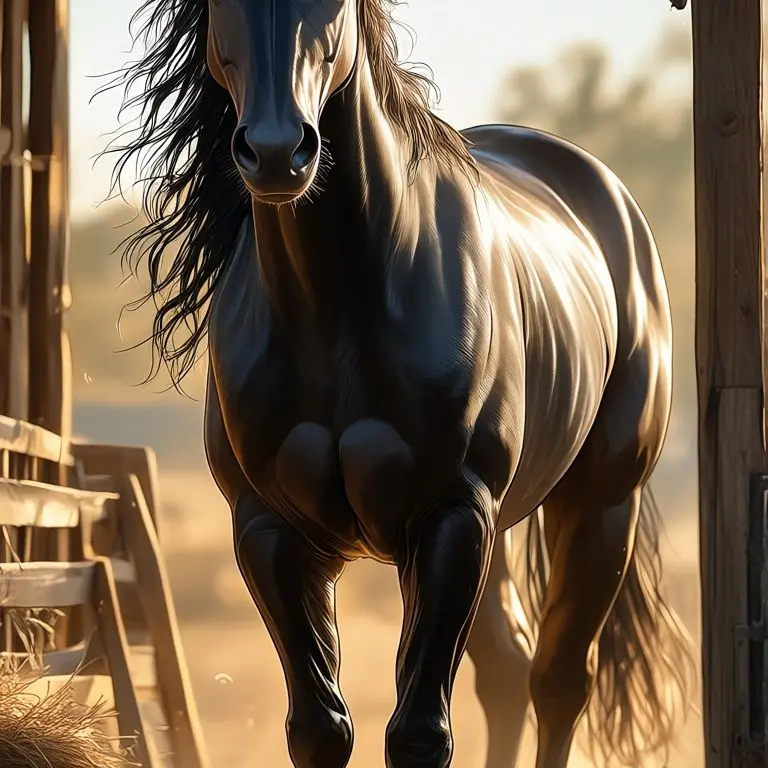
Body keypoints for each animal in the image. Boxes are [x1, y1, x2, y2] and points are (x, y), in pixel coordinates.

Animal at [104, 0, 695, 765]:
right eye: (220, 7)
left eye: (334, 8)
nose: (277, 153)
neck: (338, 307)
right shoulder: (271, 533)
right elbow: (321, 729)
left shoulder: (450, 515)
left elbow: (417, 732)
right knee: (507, 671)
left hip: (598, 506)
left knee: (559, 680)